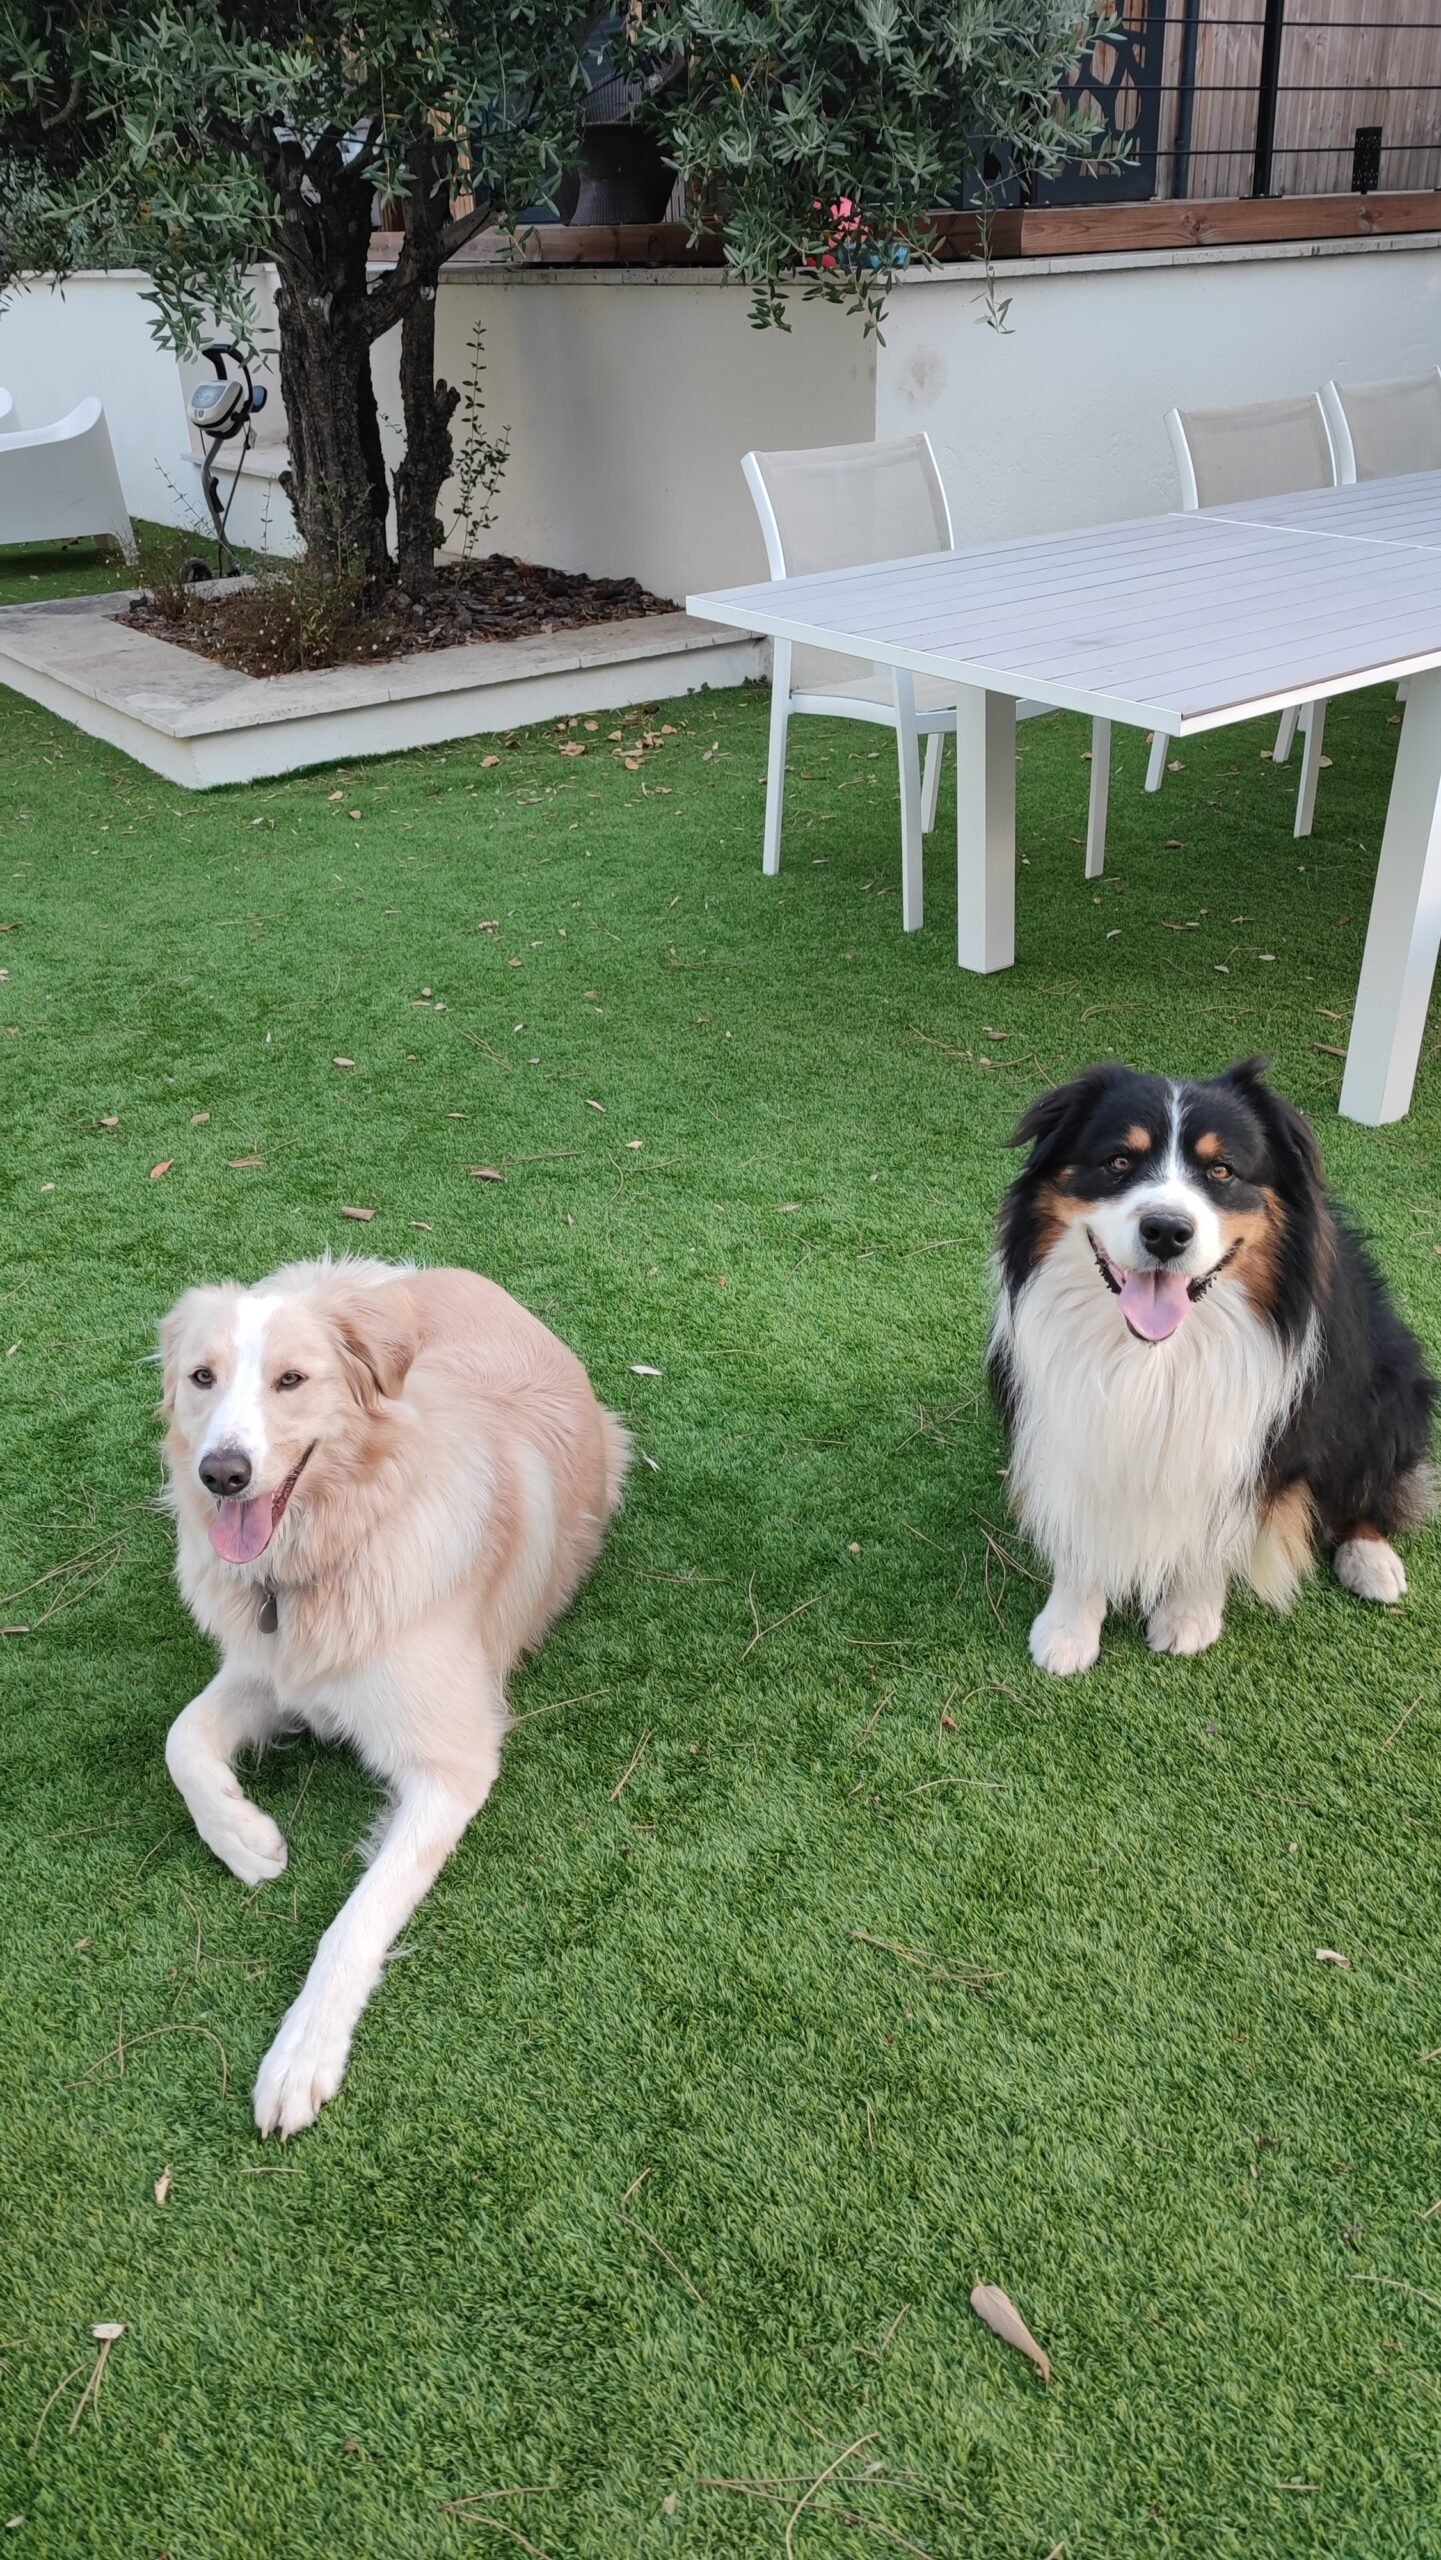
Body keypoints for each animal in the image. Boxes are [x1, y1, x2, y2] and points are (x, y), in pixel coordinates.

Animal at [159, 1255, 628, 2135]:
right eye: (202, 1377)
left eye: (292, 1380)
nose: (221, 1474)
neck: (337, 1542)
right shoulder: (269, 1668)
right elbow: (181, 1739)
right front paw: (243, 1837)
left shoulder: (452, 1766)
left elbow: (355, 1921)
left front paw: (302, 2052)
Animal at [988, 1059, 1435, 1676]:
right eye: (1119, 1162)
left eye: (1221, 1170)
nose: (1166, 1231)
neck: (1155, 1359)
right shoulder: (1071, 1428)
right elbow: (1083, 1523)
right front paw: (1068, 1627)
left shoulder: (1249, 1445)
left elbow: (1218, 1531)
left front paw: (1188, 1616)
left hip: (1389, 1388)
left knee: (1372, 1487)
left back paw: (1372, 1560)